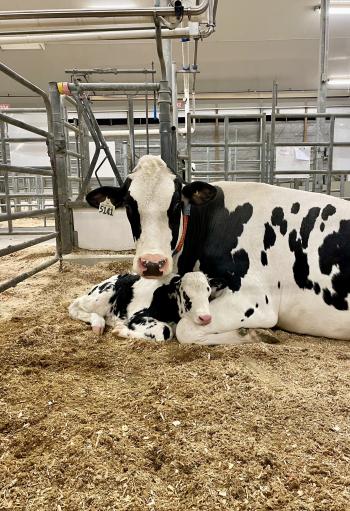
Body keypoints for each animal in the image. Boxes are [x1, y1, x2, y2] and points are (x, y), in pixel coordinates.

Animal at [67, 270, 213, 342]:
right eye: (186, 294)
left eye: (208, 292)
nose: (205, 318)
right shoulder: (138, 317)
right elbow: (165, 331)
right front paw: (121, 330)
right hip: (102, 296)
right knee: (74, 305)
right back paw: (98, 324)